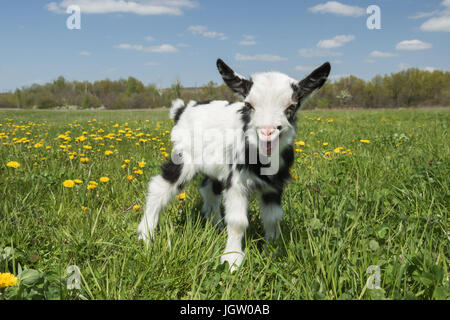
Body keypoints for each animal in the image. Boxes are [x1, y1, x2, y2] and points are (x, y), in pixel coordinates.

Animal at [137, 58, 330, 270]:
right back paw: (146, 235)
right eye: (249, 105)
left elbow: (273, 217)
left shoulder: (274, 184)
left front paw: (274, 249)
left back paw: (216, 226)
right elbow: (238, 221)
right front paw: (232, 260)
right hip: (183, 156)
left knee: (209, 189)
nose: (267, 133)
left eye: (292, 106)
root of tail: (182, 110)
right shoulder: (237, 181)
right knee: (160, 186)